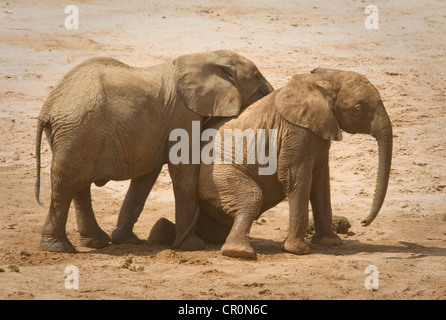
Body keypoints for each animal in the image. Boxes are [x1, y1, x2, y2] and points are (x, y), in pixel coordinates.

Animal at [34, 50, 274, 252]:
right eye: (261, 90)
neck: (205, 57)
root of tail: (48, 108)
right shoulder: (183, 115)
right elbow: (183, 172)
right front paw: (191, 245)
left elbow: (146, 178)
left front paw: (127, 240)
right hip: (77, 130)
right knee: (67, 183)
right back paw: (58, 248)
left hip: (76, 135)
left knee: (79, 183)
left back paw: (96, 242)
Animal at [146, 68, 390, 260]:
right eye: (359, 108)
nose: (363, 222)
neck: (322, 81)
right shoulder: (296, 132)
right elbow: (296, 178)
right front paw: (298, 251)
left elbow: (321, 184)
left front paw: (331, 243)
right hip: (218, 178)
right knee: (252, 198)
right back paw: (239, 253)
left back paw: (160, 233)